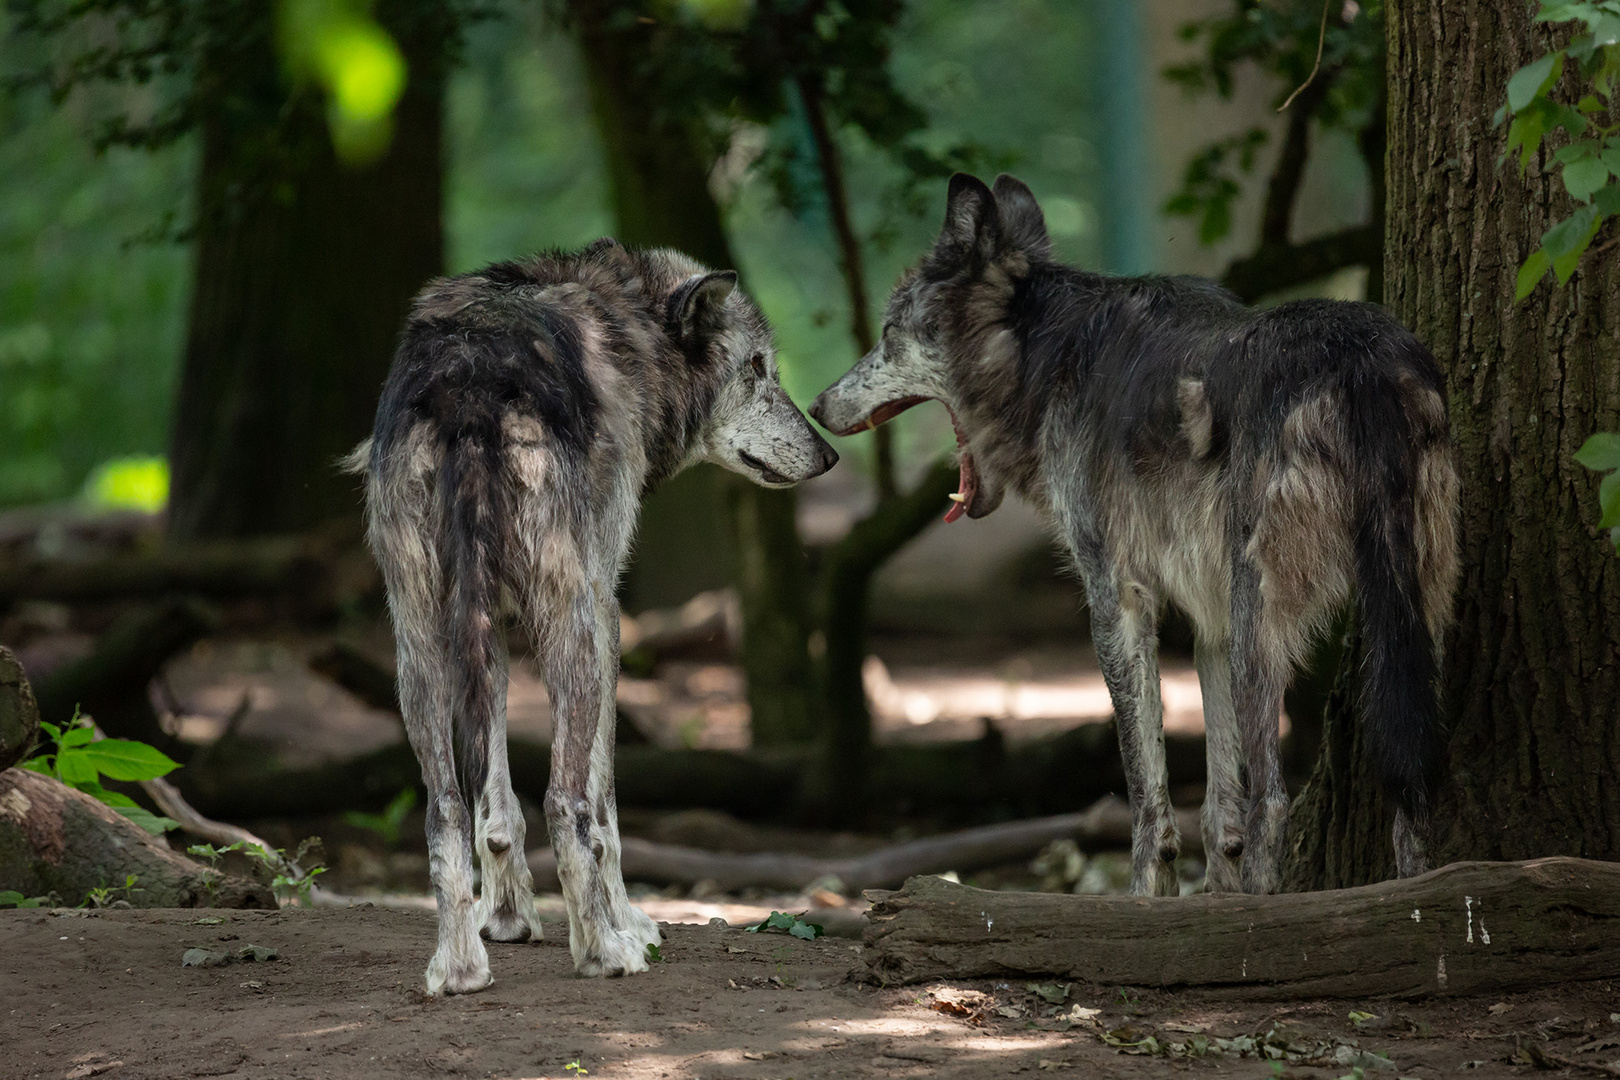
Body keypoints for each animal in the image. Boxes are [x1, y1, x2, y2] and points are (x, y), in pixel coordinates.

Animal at [351, 241, 835, 990]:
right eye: (758, 368)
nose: (829, 454)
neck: (629, 317)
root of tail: (469, 378)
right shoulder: (606, 615)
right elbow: (604, 808)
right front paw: (627, 922)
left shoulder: (488, 627)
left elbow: (496, 811)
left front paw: (508, 920)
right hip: (571, 631)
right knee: (564, 802)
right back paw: (604, 954)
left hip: (420, 642)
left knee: (445, 811)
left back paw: (460, 968)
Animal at [816, 173, 1464, 900]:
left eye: (887, 334)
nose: (815, 405)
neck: (1045, 358)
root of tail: (1363, 366)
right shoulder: (1211, 624)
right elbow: (1217, 807)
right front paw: (1208, 894)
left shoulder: (1117, 602)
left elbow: (1148, 794)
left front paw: (1147, 899)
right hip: (1409, 618)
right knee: (1412, 787)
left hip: (1263, 624)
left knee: (1274, 799)